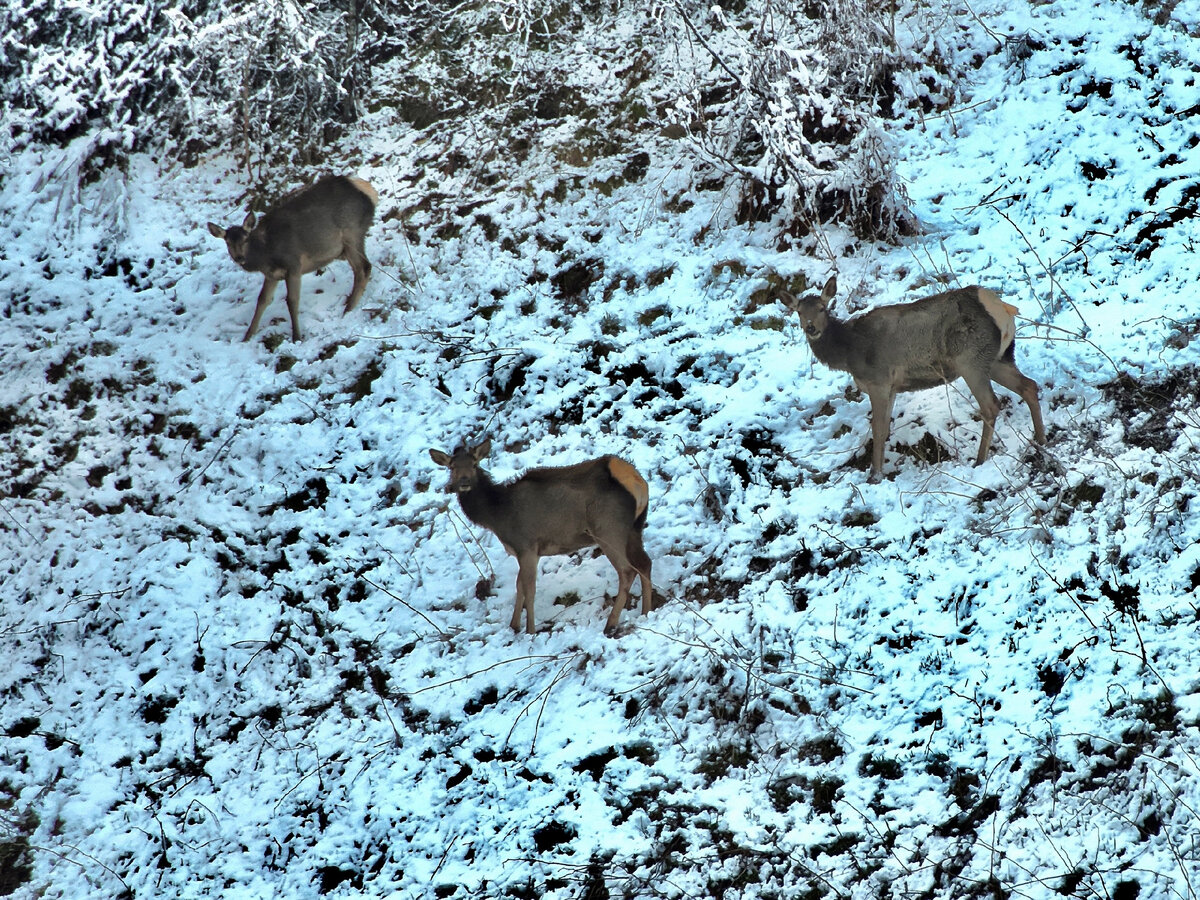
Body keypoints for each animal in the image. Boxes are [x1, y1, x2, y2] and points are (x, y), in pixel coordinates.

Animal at [206, 174, 374, 343]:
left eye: (245, 239)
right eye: (228, 242)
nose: (239, 258)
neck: (266, 256)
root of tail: (367, 190)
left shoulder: (293, 265)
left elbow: (292, 300)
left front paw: (297, 337)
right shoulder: (272, 275)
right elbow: (262, 300)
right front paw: (247, 337)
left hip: (352, 233)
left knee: (364, 268)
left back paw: (348, 310)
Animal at [429, 441, 657, 638]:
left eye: (474, 463)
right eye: (452, 467)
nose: (463, 483)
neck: (497, 514)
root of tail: (636, 480)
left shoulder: (527, 546)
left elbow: (529, 589)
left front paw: (530, 630)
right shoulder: (526, 551)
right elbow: (519, 586)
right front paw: (514, 626)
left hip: (608, 529)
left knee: (627, 571)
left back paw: (610, 624)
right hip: (634, 528)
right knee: (645, 563)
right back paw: (646, 612)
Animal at [772, 274, 1046, 482]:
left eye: (822, 307)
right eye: (798, 311)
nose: (811, 328)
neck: (850, 354)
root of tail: (1001, 308)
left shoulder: (879, 380)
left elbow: (877, 427)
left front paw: (875, 475)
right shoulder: (893, 387)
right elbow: (884, 429)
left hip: (971, 360)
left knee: (991, 405)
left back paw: (980, 460)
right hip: (999, 358)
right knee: (1029, 386)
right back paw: (1041, 440)